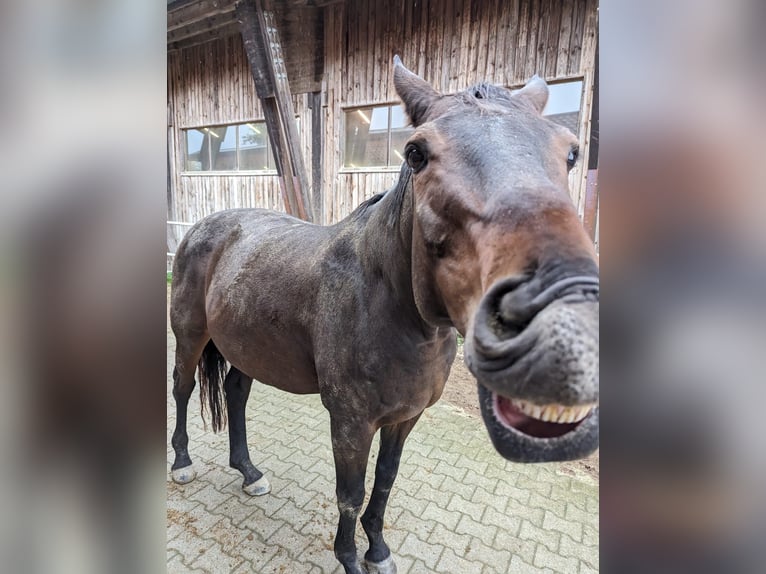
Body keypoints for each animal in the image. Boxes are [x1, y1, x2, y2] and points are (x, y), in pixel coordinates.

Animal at [171, 57, 604, 574]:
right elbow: (351, 493)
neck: (391, 308)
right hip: (190, 338)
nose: (555, 312)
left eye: (571, 153)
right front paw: (350, 558)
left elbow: (384, 483)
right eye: (416, 152)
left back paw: (249, 471)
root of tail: (205, 226)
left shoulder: (405, 417)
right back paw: (181, 463)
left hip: (248, 347)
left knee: (236, 394)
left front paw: (377, 550)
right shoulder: (351, 421)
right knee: (181, 388)